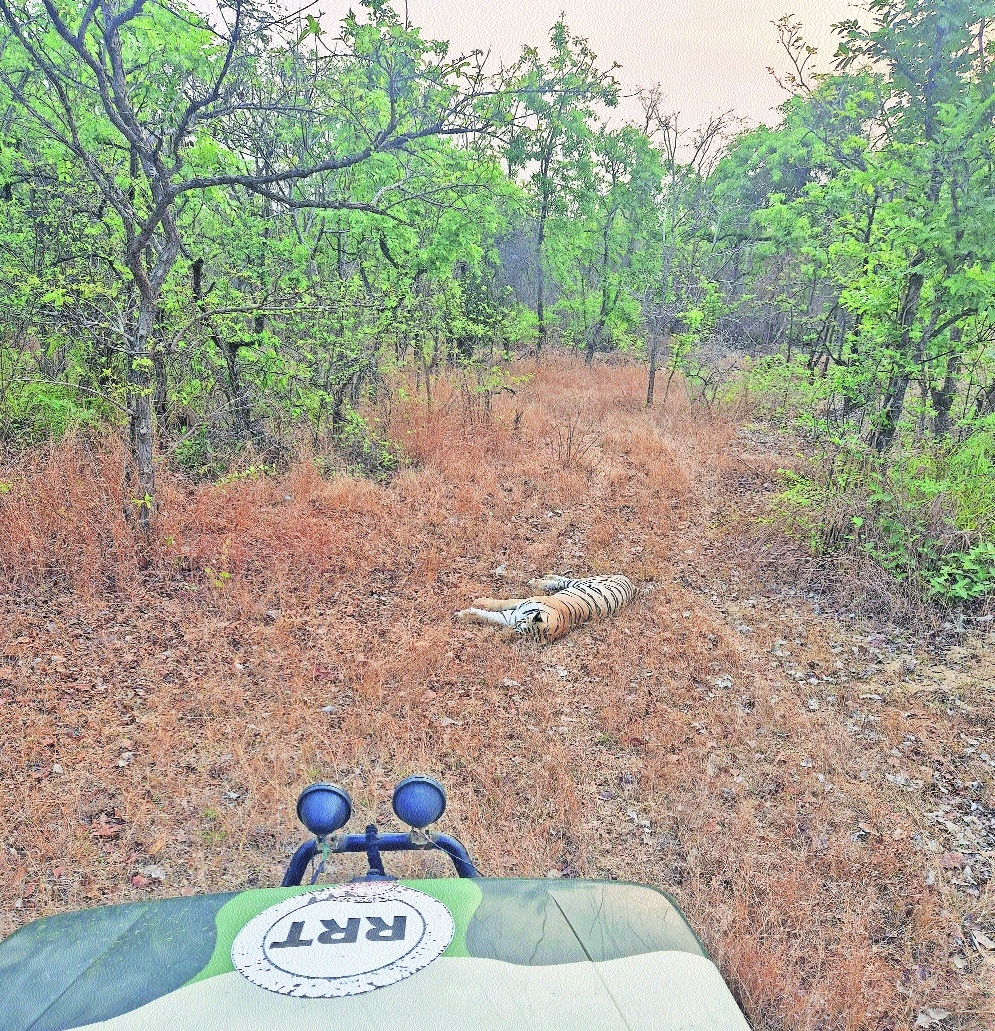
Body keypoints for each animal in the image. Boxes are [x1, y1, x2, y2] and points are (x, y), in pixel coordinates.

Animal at [456, 573, 636, 643]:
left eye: (522, 634)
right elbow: (498, 603)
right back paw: (539, 581)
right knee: (564, 580)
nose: (509, 631)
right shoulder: (520, 605)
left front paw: (464, 613)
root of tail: (633, 586)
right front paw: (479, 602)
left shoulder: (509, 617)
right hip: (584, 582)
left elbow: (487, 615)